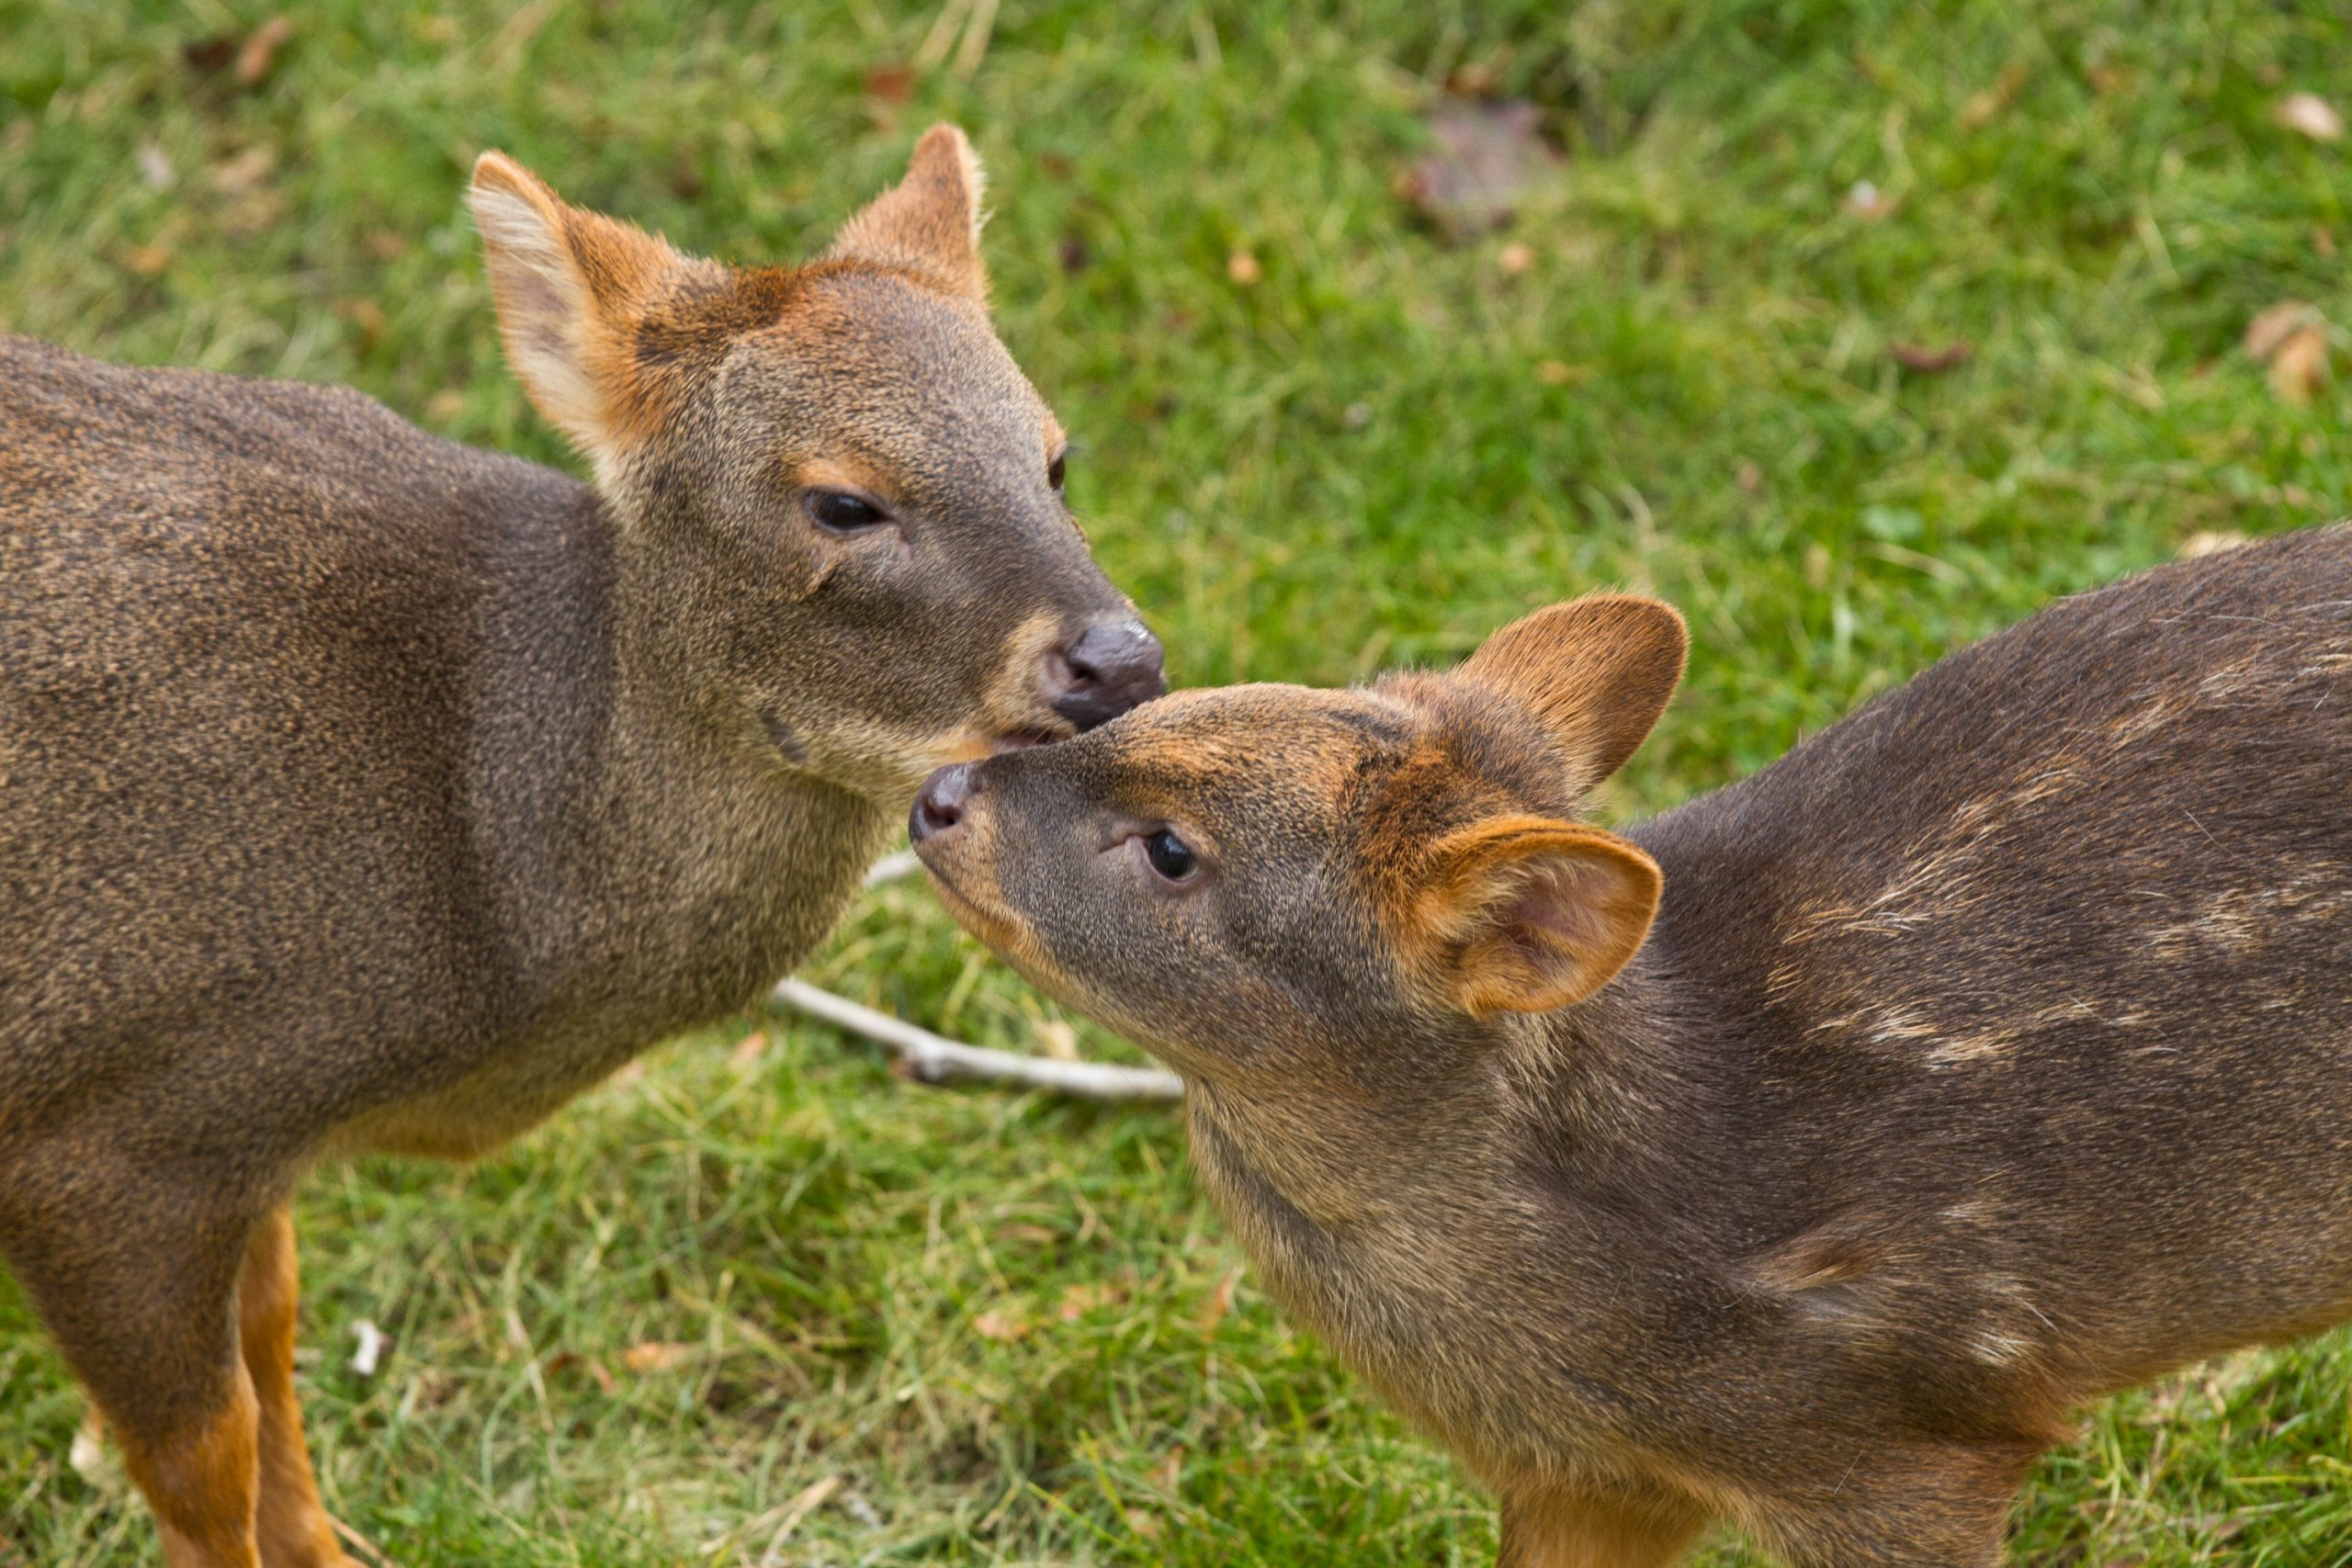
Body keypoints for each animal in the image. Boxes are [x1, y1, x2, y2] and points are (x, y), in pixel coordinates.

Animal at [0, 125, 1157, 1568]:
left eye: (1053, 458)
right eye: (843, 501)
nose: (1121, 659)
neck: (479, 857)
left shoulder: (241, 1126)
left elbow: (274, 1346)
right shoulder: (101, 1127)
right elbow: (203, 1455)